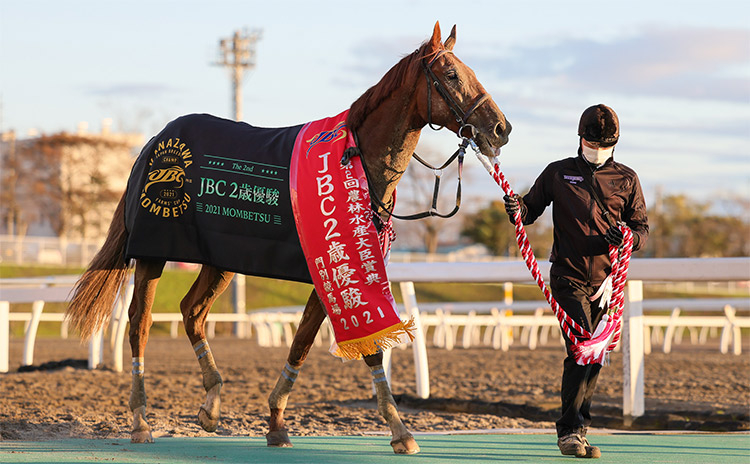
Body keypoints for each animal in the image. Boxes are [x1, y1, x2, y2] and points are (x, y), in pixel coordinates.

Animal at [66, 23, 512, 454]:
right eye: (451, 75)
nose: (501, 128)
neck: (356, 163)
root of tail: (153, 144)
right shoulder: (337, 265)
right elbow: (365, 348)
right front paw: (400, 430)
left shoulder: (339, 270)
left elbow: (305, 341)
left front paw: (277, 422)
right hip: (154, 250)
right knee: (139, 323)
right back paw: (141, 420)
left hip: (221, 259)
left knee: (192, 310)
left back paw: (212, 403)